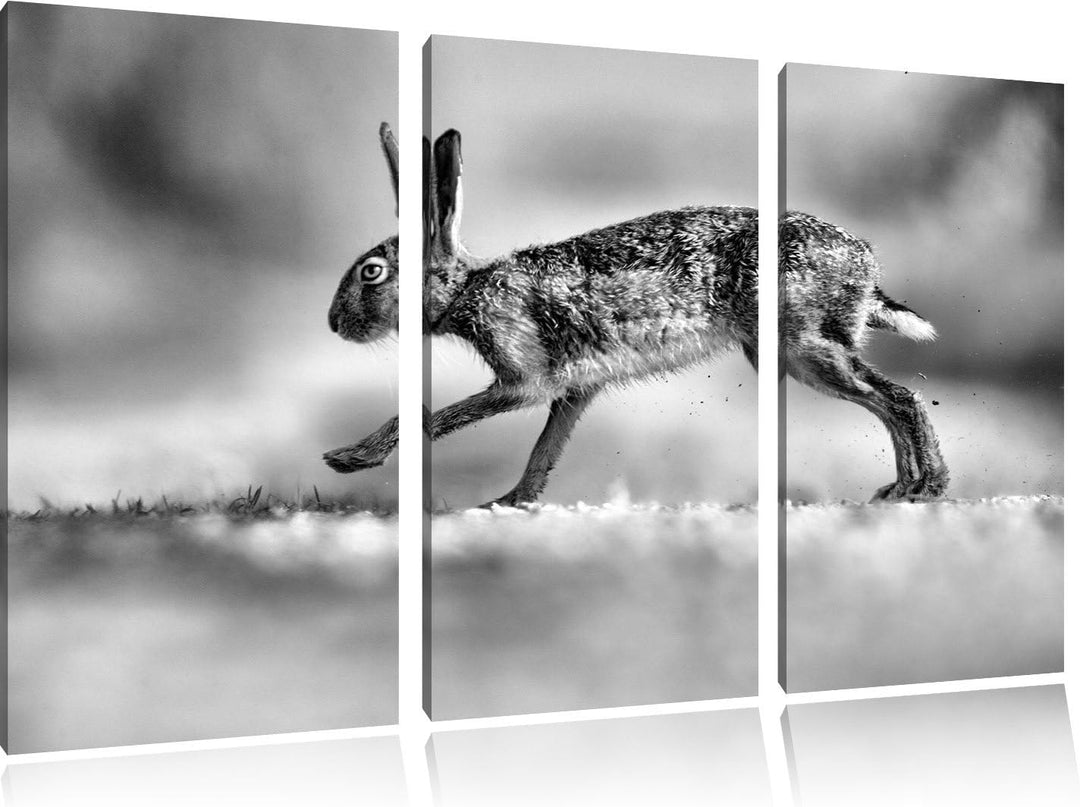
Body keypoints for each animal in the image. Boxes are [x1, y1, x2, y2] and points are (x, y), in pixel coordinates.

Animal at [325, 123, 948, 506]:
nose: (334, 325)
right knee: (888, 401)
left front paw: (348, 459)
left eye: (372, 272)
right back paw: (900, 489)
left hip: (804, 344)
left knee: (899, 399)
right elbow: (544, 450)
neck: (466, 288)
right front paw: (508, 502)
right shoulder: (575, 390)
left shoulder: (522, 379)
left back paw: (926, 489)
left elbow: (431, 418)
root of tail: (865, 260)